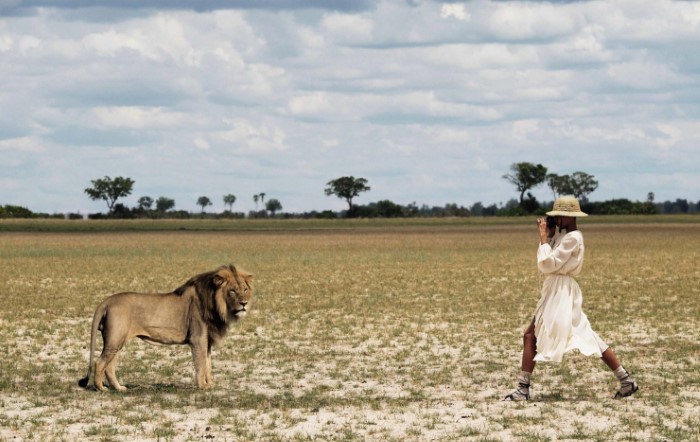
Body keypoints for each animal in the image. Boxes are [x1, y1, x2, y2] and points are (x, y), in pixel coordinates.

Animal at [78, 262, 253, 390]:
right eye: (232, 291)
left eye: (245, 289)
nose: (244, 303)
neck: (216, 305)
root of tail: (106, 301)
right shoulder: (197, 339)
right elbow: (201, 364)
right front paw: (202, 386)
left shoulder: (207, 340)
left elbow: (208, 364)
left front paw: (210, 384)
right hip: (115, 340)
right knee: (100, 362)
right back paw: (101, 388)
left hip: (117, 341)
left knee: (110, 366)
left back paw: (119, 388)